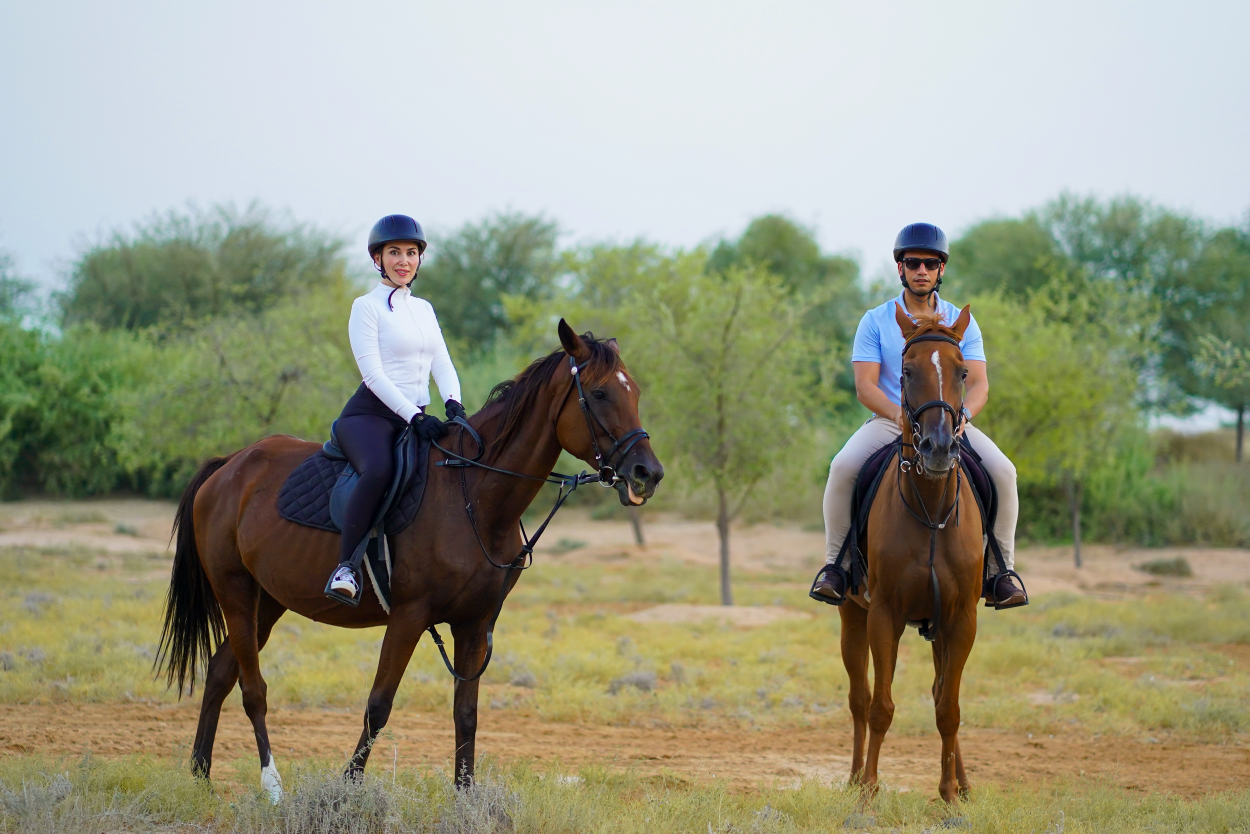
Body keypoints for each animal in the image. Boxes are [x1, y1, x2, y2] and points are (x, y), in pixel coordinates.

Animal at [153, 322, 665, 800]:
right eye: (599, 393)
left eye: (635, 392)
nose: (649, 472)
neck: (473, 494)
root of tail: (229, 465)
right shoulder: (409, 616)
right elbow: (378, 705)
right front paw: (346, 791)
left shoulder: (474, 624)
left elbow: (466, 714)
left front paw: (465, 800)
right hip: (236, 592)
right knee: (252, 689)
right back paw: (272, 784)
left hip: (268, 601)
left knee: (221, 672)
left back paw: (200, 776)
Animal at [840, 305, 985, 800]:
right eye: (906, 372)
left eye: (963, 372)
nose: (939, 447)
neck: (932, 512)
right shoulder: (885, 614)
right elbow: (881, 706)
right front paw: (869, 788)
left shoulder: (961, 619)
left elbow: (950, 708)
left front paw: (950, 793)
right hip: (853, 615)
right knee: (859, 698)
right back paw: (853, 778)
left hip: (940, 628)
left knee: (942, 692)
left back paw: (961, 782)